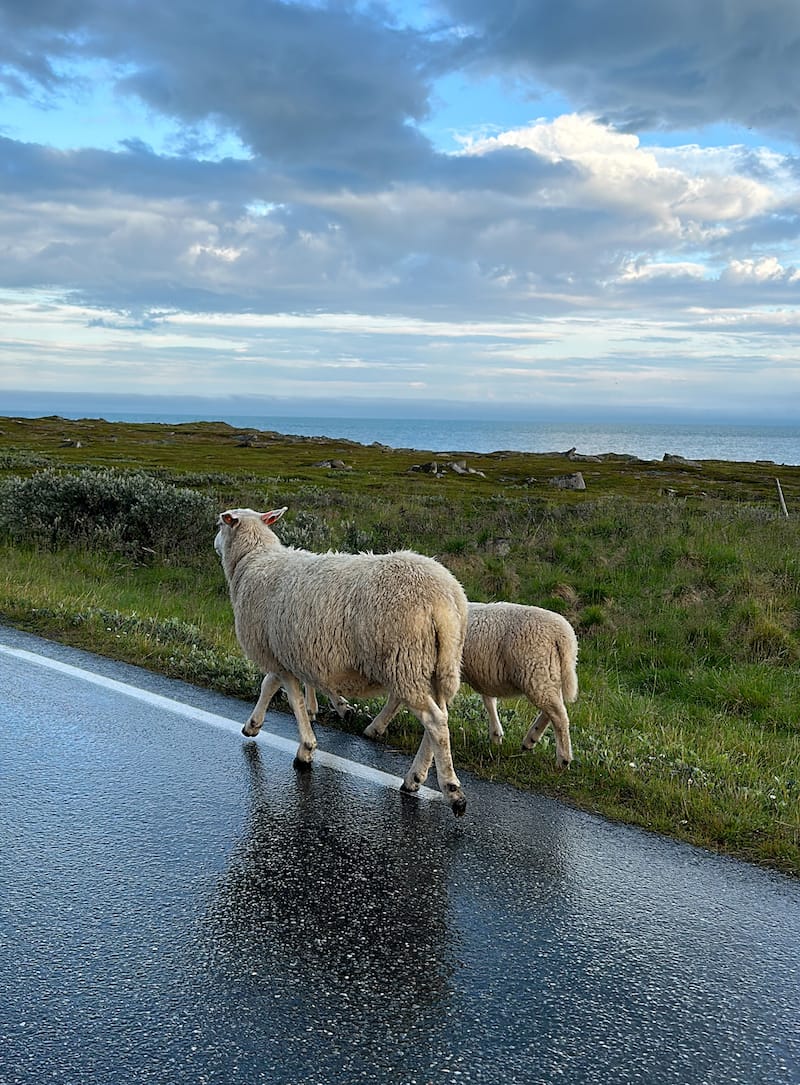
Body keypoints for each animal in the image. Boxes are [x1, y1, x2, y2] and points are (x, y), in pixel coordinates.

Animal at [214, 507, 471, 815]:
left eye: (219, 525)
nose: (214, 543)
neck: (254, 560)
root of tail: (443, 599)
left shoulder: (277, 655)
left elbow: (291, 699)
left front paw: (305, 750)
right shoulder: (283, 653)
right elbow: (270, 686)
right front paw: (253, 725)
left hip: (405, 660)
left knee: (434, 721)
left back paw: (452, 792)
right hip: (435, 663)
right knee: (439, 719)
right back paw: (415, 778)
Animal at [364, 598, 577, 768]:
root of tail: (565, 636)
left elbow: (395, 699)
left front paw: (374, 728)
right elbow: (489, 701)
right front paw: (496, 734)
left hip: (535, 672)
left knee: (559, 715)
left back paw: (563, 759)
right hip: (547, 675)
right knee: (553, 709)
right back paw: (531, 739)